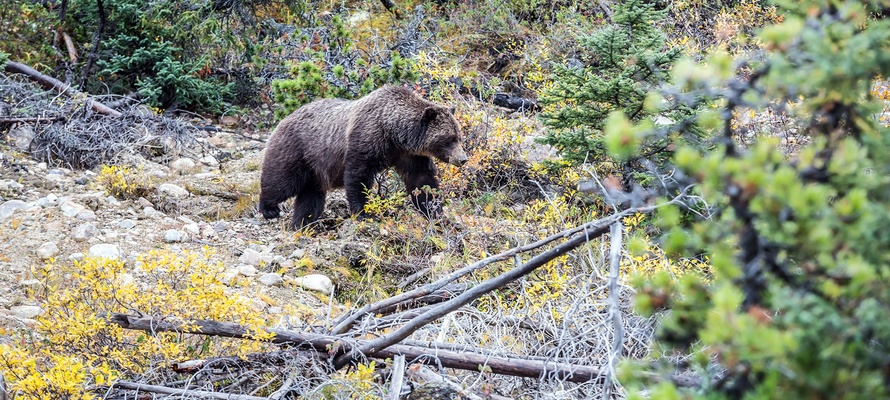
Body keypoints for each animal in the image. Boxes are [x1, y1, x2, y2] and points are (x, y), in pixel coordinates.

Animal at [258, 85, 468, 228]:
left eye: (459, 136)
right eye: (449, 139)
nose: (463, 159)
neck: (394, 133)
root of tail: (284, 119)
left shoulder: (409, 155)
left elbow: (422, 181)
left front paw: (437, 213)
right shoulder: (366, 138)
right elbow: (358, 175)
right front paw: (364, 213)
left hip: (315, 170)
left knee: (310, 198)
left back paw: (303, 223)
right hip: (298, 149)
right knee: (282, 180)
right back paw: (269, 208)